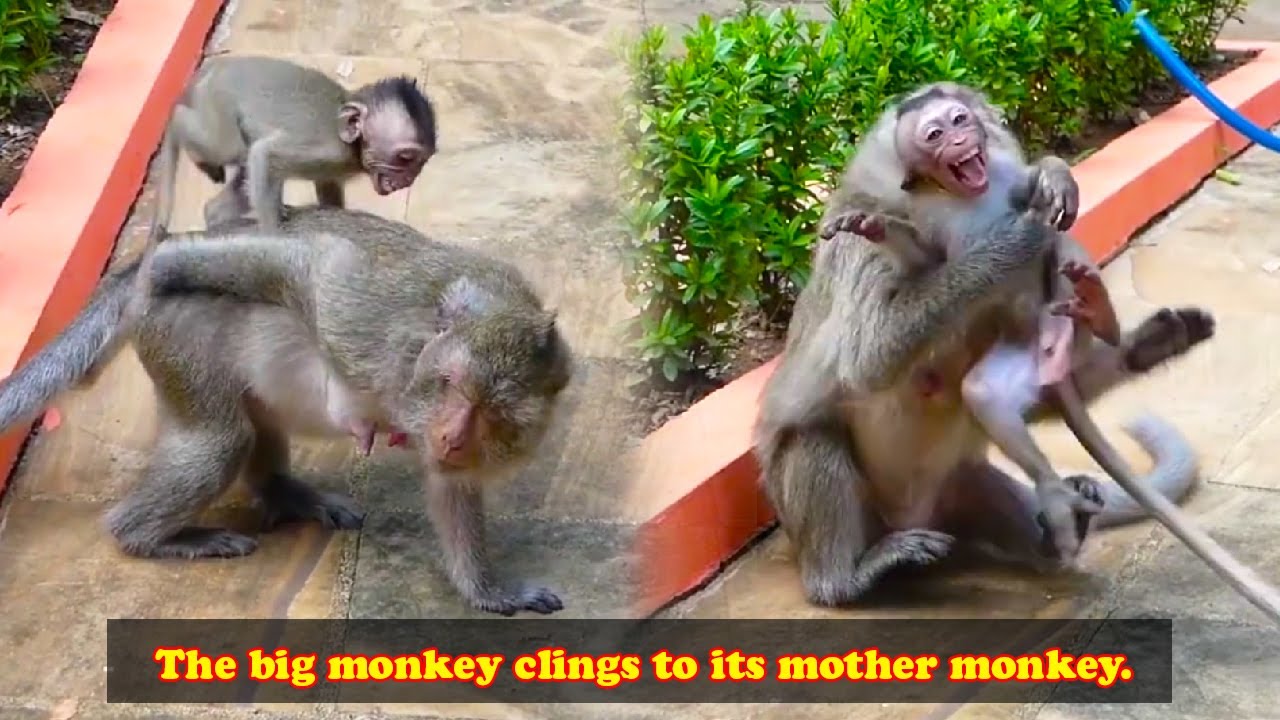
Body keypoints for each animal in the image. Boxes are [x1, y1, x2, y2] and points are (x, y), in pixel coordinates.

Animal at [0, 206, 574, 617]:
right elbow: (314, 267)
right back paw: (146, 533)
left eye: (492, 414)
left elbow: (450, 487)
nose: (453, 436)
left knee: (257, 422)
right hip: (177, 337)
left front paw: (490, 591)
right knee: (221, 441)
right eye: (452, 386)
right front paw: (164, 262)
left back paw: (282, 492)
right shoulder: (372, 327)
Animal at [148, 55, 437, 239]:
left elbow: (327, 188)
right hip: (217, 104)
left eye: (421, 162)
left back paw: (216, 216)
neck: (353, 144)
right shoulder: (330, 150)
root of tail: (216, 66)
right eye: (405, 157)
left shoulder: (333, 164)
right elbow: (266, 154)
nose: (408, 179)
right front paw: (272, 240)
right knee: (225, 146)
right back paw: (177, 123)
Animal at [751, 81, 1280, 624]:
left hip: (964, 484)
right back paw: (849, 577)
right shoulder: (856, 247)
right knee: (824, 436)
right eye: (934, 134)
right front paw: (1014, 236)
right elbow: (868, 358)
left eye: (960, 118)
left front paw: (1054, 175)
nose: (960, 138)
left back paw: (1113, 334)